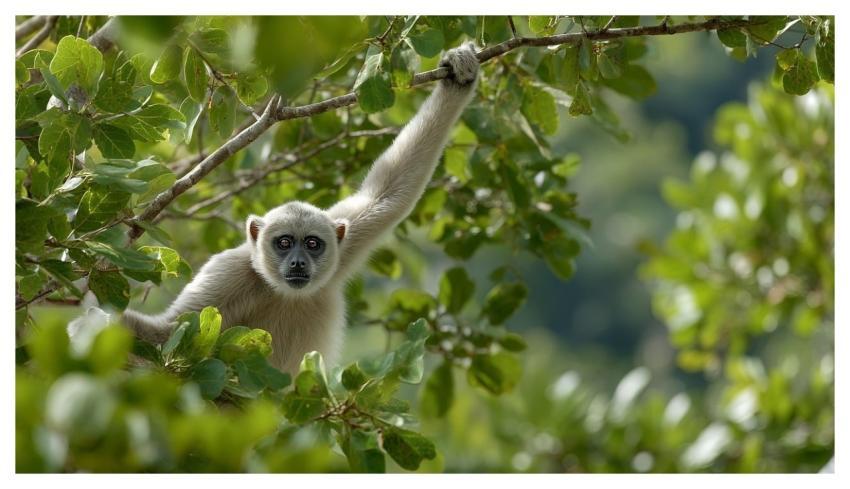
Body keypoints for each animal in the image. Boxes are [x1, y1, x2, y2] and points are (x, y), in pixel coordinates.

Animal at [122, 43, 480, 374]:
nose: (297, 262)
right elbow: (166, 334)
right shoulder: (227, 273)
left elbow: (389, 193)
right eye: (283, 243)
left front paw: (459, 78)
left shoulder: (344, 240)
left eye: (312, 243)